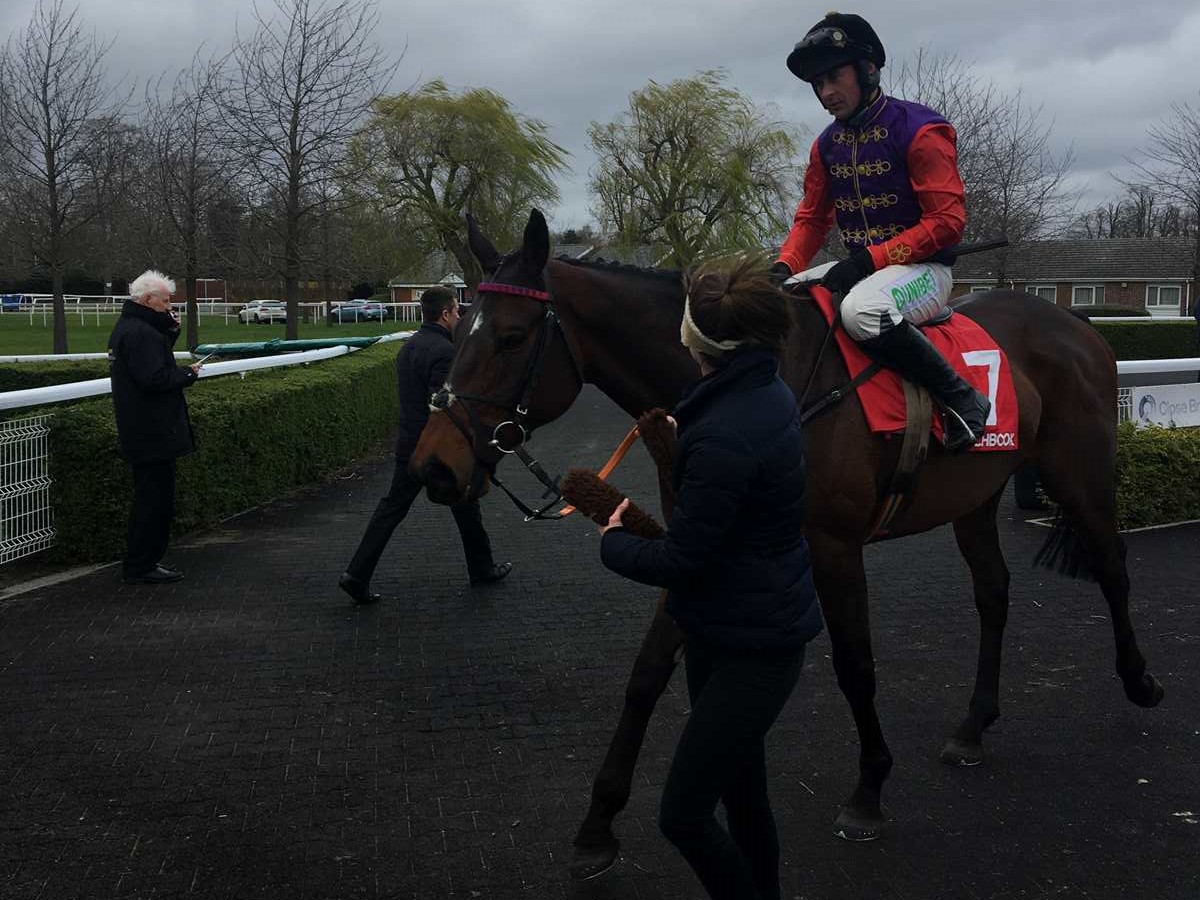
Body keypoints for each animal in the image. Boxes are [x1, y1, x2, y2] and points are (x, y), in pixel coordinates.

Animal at [412, 210, 1161, 883]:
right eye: (461, 330)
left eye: (511, 338)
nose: (434, 467)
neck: (757, 378)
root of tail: (1078, 328)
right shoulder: (697, 551)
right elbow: (646, 676)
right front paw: (598, 825)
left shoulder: (833, 549)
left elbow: (856, 665)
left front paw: (868, 792)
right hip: (975, 497)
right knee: (994, 592)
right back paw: (974, 725)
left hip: (1079, 474)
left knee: (1113, 567)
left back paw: (1140, 681)